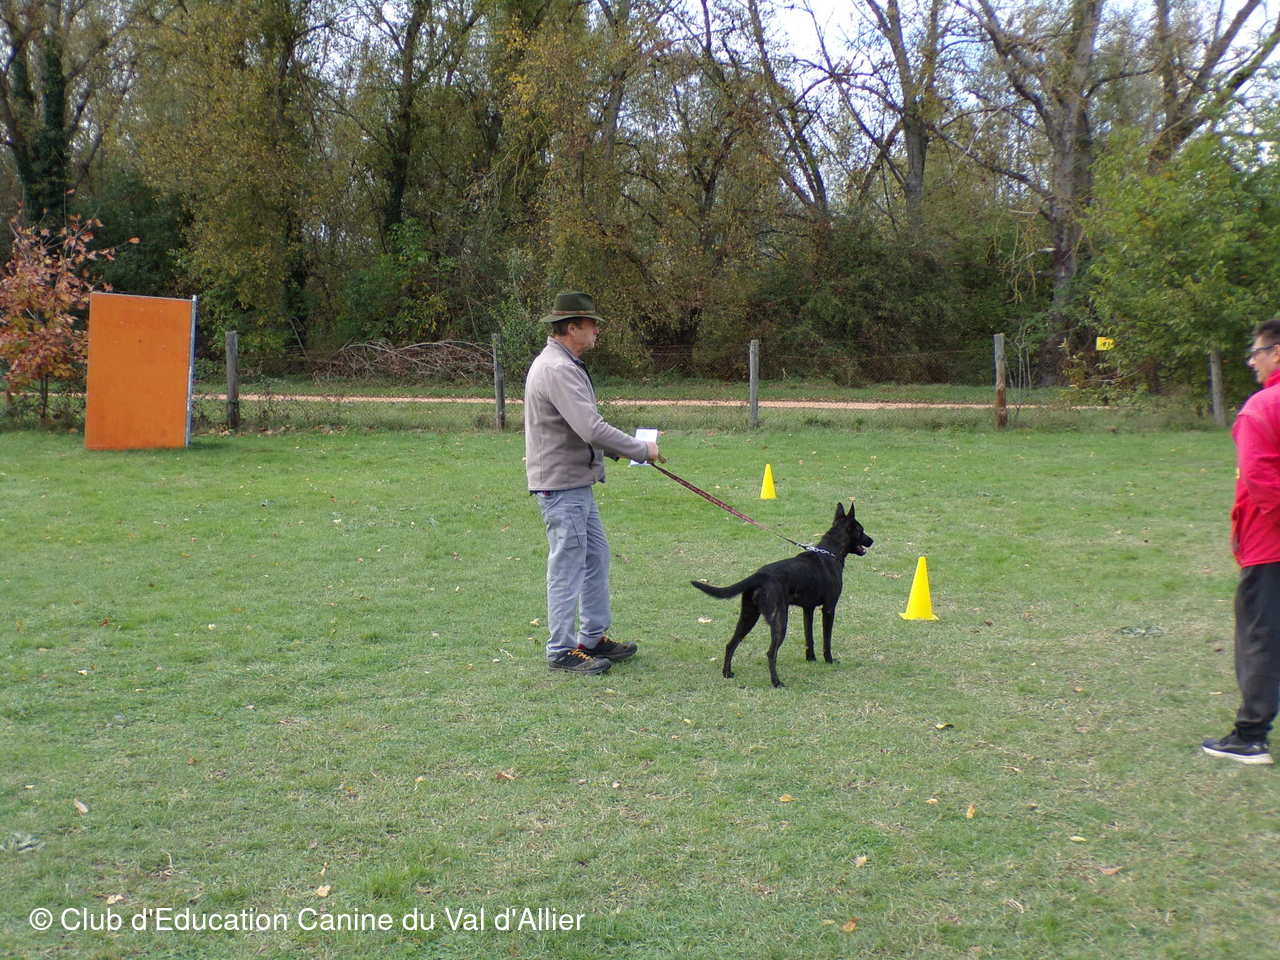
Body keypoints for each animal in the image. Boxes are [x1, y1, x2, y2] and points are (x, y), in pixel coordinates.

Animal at [691, 502, 873, 687]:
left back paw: (727, 673)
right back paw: (776, 682)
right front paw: (829, 660)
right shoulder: (829, 609)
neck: (830, 552)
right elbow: (826, 640)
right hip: (779, 620)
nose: (872, 541)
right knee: (771, 653)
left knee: (731, 644)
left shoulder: (808, 609)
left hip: (748, 616)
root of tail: (760, 575)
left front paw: (811, 659)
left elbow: (809, 638)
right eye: (861, 530)